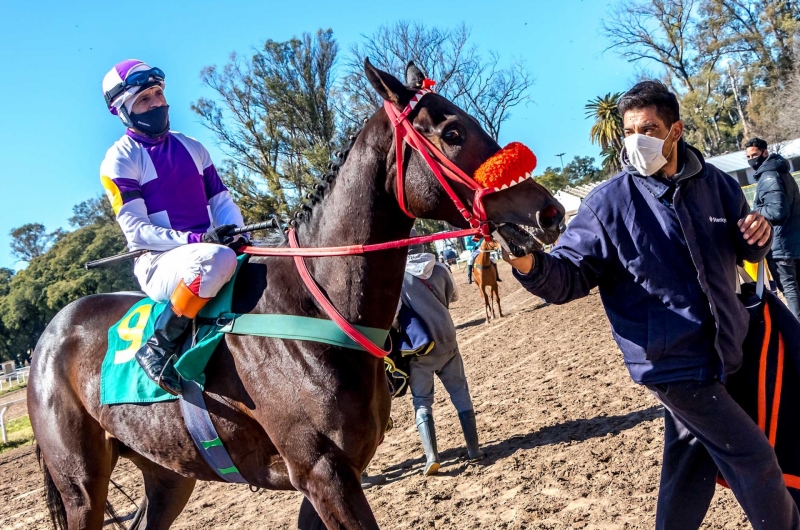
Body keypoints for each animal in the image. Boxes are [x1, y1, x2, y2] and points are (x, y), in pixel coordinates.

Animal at [26, 58, 564, 528]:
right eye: (452, 132)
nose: (550, 212)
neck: (316, 308)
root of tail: (50, 335)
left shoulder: (334, 472)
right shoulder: (321, 471)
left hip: (167, 473)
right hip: (81, 486)